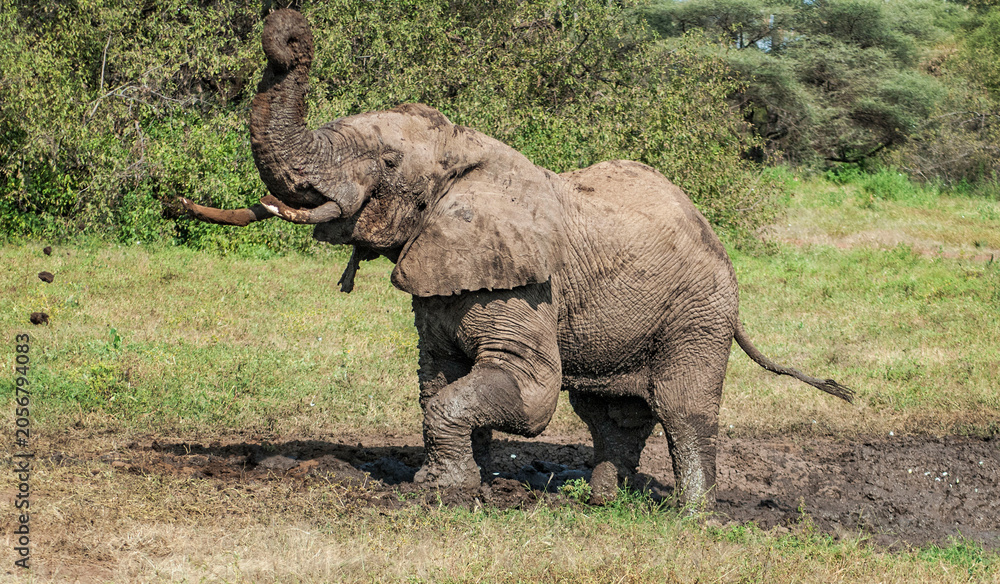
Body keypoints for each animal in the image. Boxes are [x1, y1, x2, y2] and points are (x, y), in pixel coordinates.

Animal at [179, 9, 853, 506]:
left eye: (388, 163)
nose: (289, 32)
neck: (465, 152)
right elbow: (437, 380)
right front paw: (454, 484)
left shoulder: (526, 285)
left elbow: (528, 394)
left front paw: (440, 494)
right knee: (611, 413)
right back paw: (601, 502)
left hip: (701, 308)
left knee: (681, 406)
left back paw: (691, 516)